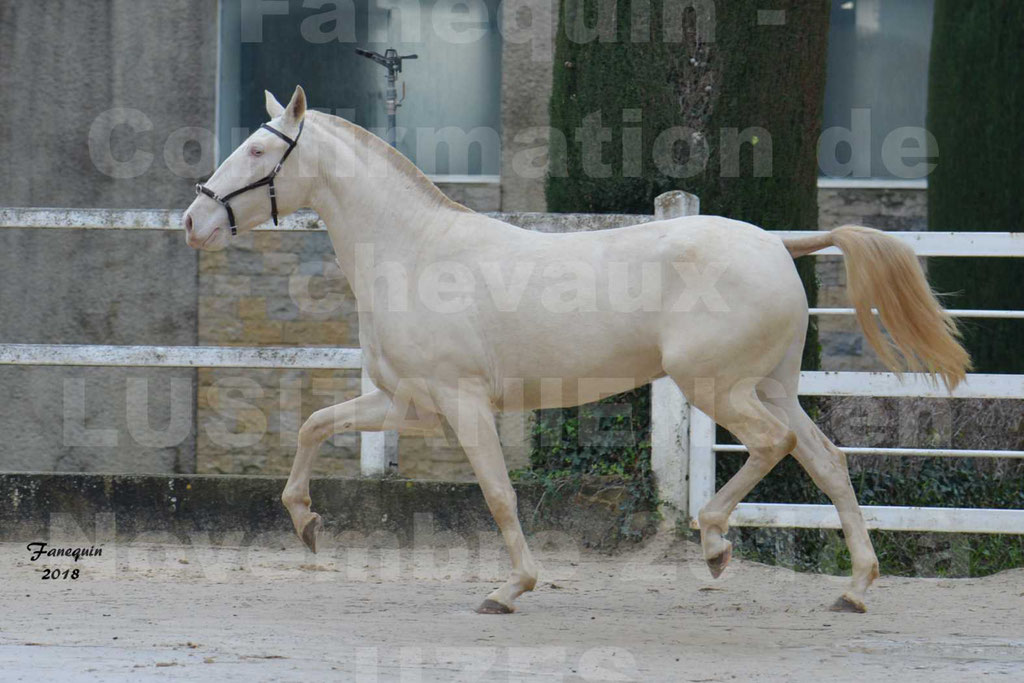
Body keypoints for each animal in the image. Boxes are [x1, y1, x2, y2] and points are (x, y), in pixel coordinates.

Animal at [184, 88, 966, 618]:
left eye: (259, 150)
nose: (193, 220)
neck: (416, 255)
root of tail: (778, 244)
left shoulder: (463, 403)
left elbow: (498, 494)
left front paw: (510, 588)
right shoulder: (408, 403)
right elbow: (314, 424)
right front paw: (307, 524)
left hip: (718, 387)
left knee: (774, 445)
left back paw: (715, 543)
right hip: (768, 385)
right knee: (826, 459)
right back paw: (855, 589)